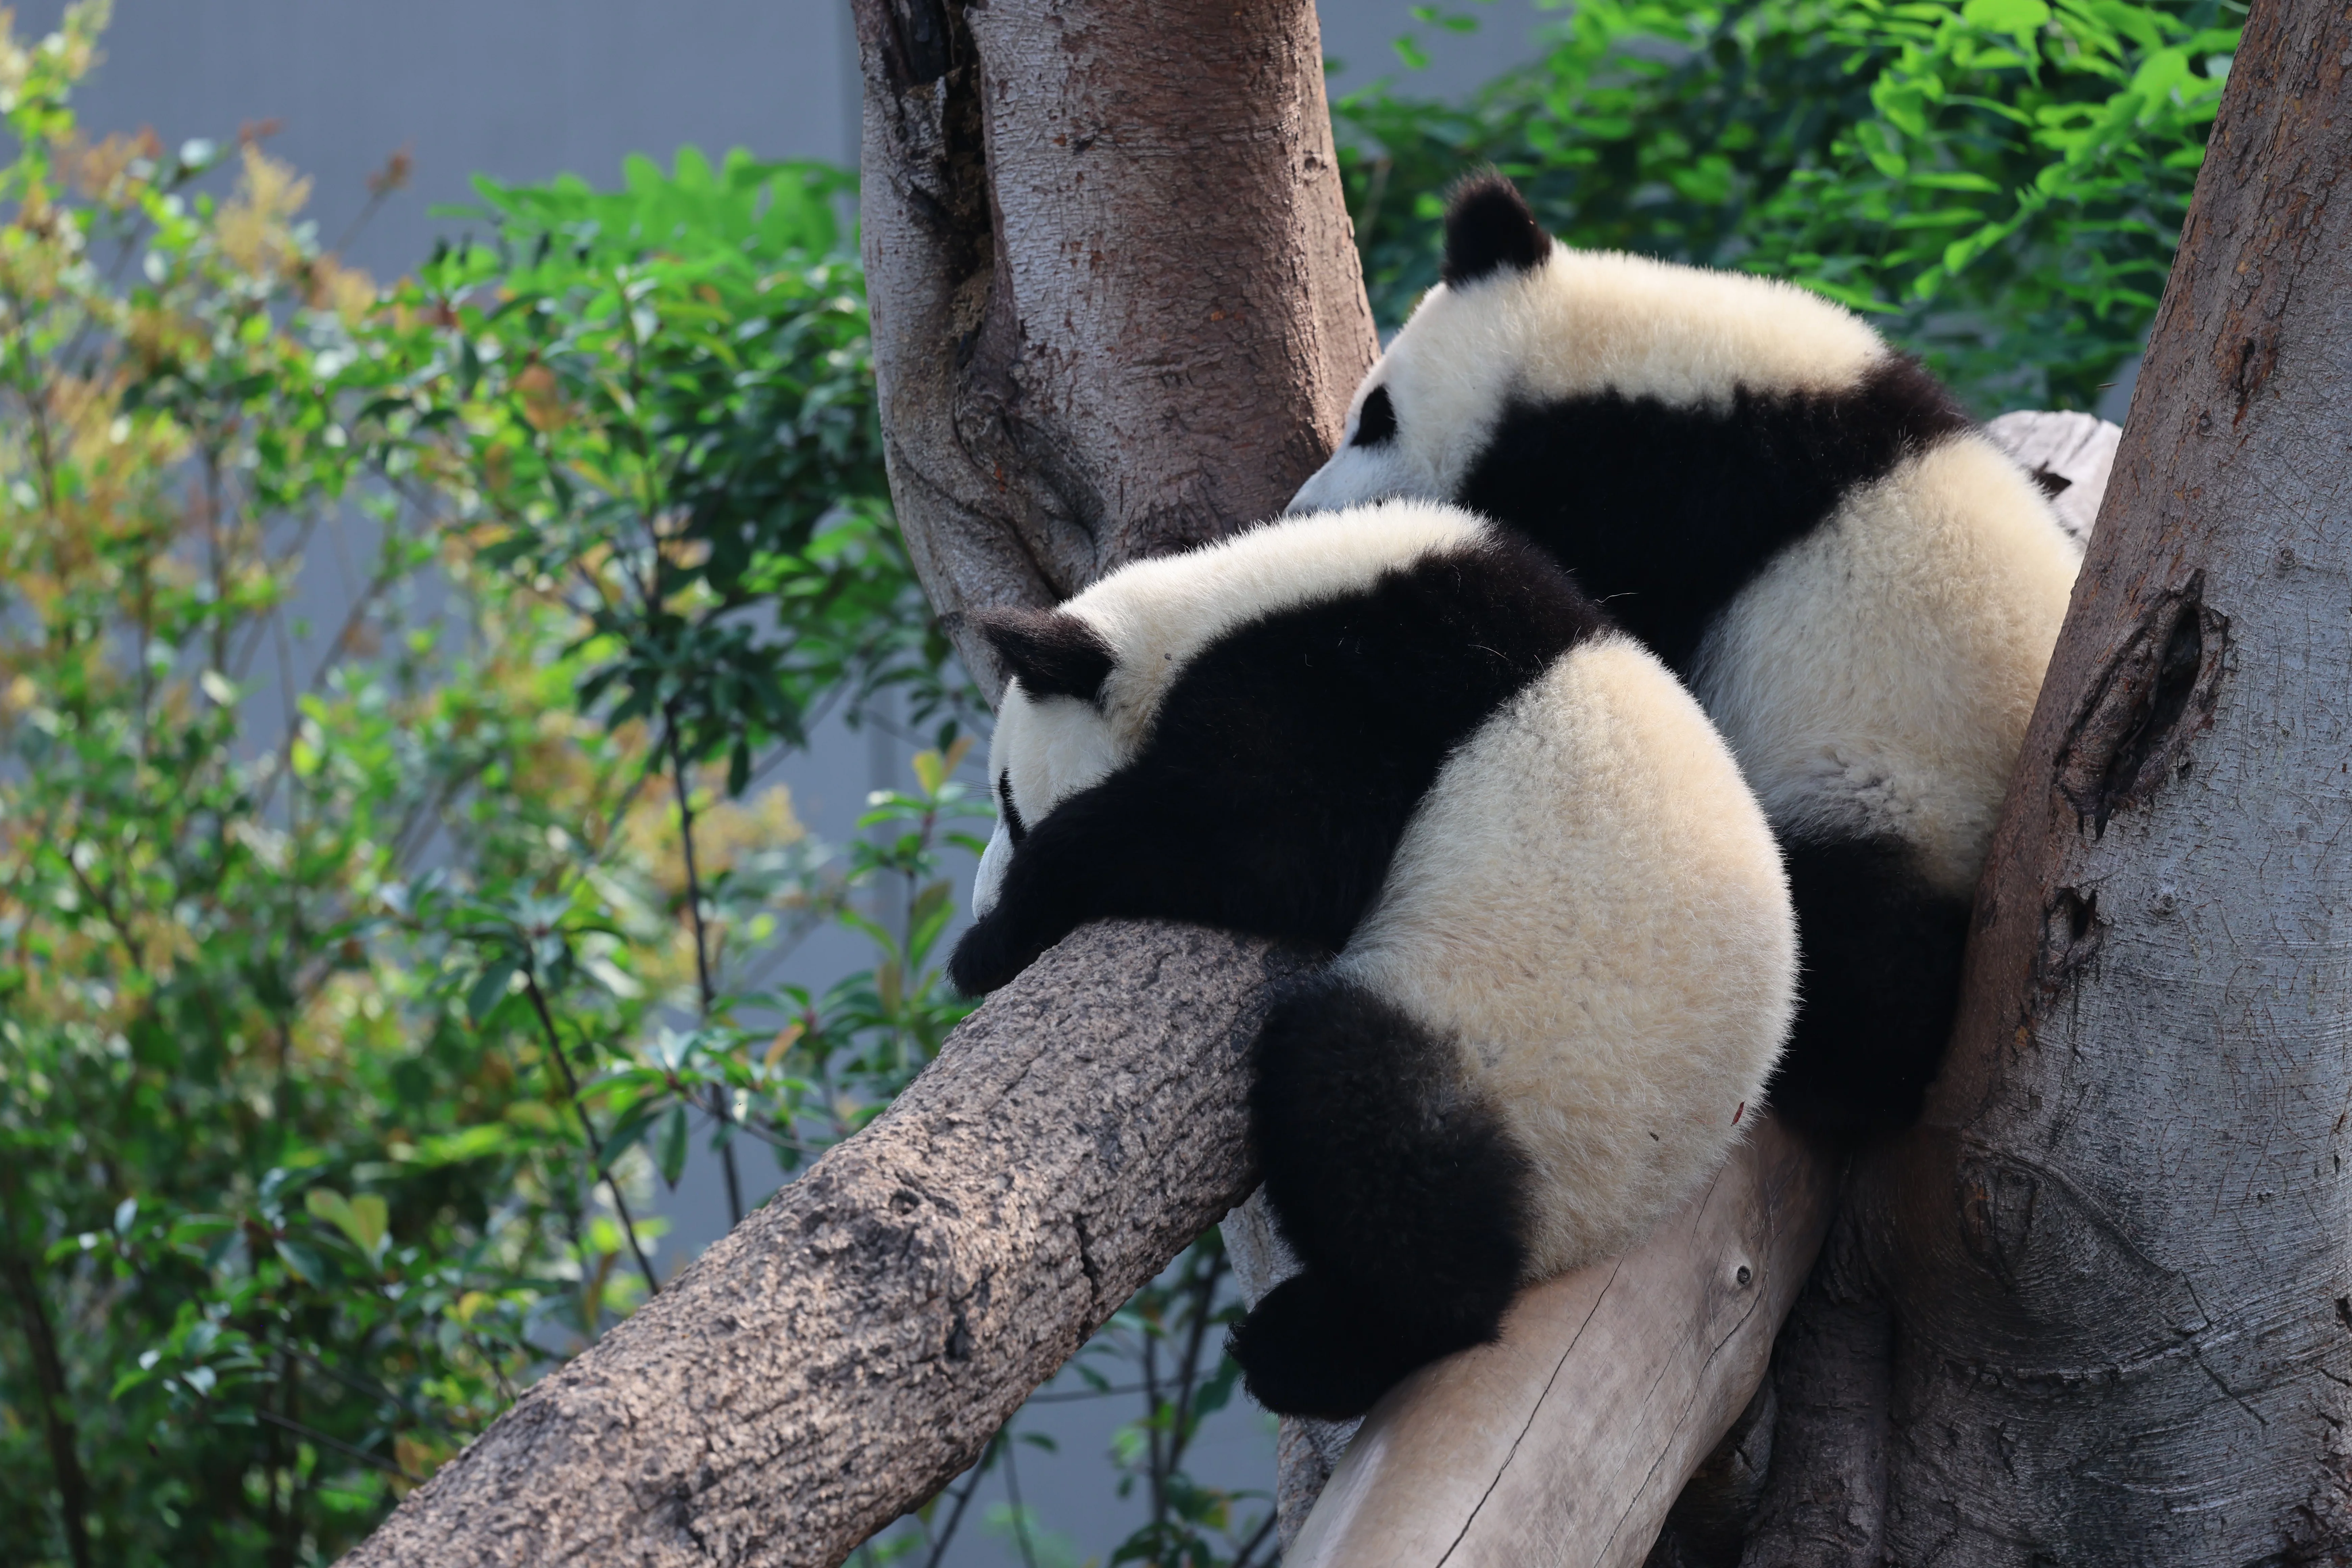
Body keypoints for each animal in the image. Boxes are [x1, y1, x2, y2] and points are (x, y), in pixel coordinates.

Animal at [950, 501, 1798, 1419]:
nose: (976, 900)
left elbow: (1276, 841)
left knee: (1370, 1114)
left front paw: (994, 940)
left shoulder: (1353, 677)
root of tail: (1626, 1215)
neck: (1217, 599)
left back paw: (1308, 1348)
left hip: (1531, 1068)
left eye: (1007, 801)